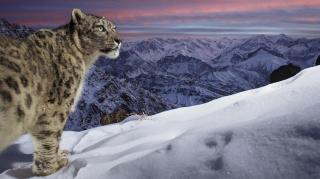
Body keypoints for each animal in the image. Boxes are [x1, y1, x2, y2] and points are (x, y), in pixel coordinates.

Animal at [0, 9, 121, 176]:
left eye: (114, 27)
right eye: (100, 27)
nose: (119, 40)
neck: (85, 60)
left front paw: (60, 155)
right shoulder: (56, 106)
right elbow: (50, 136)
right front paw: (52, 167)